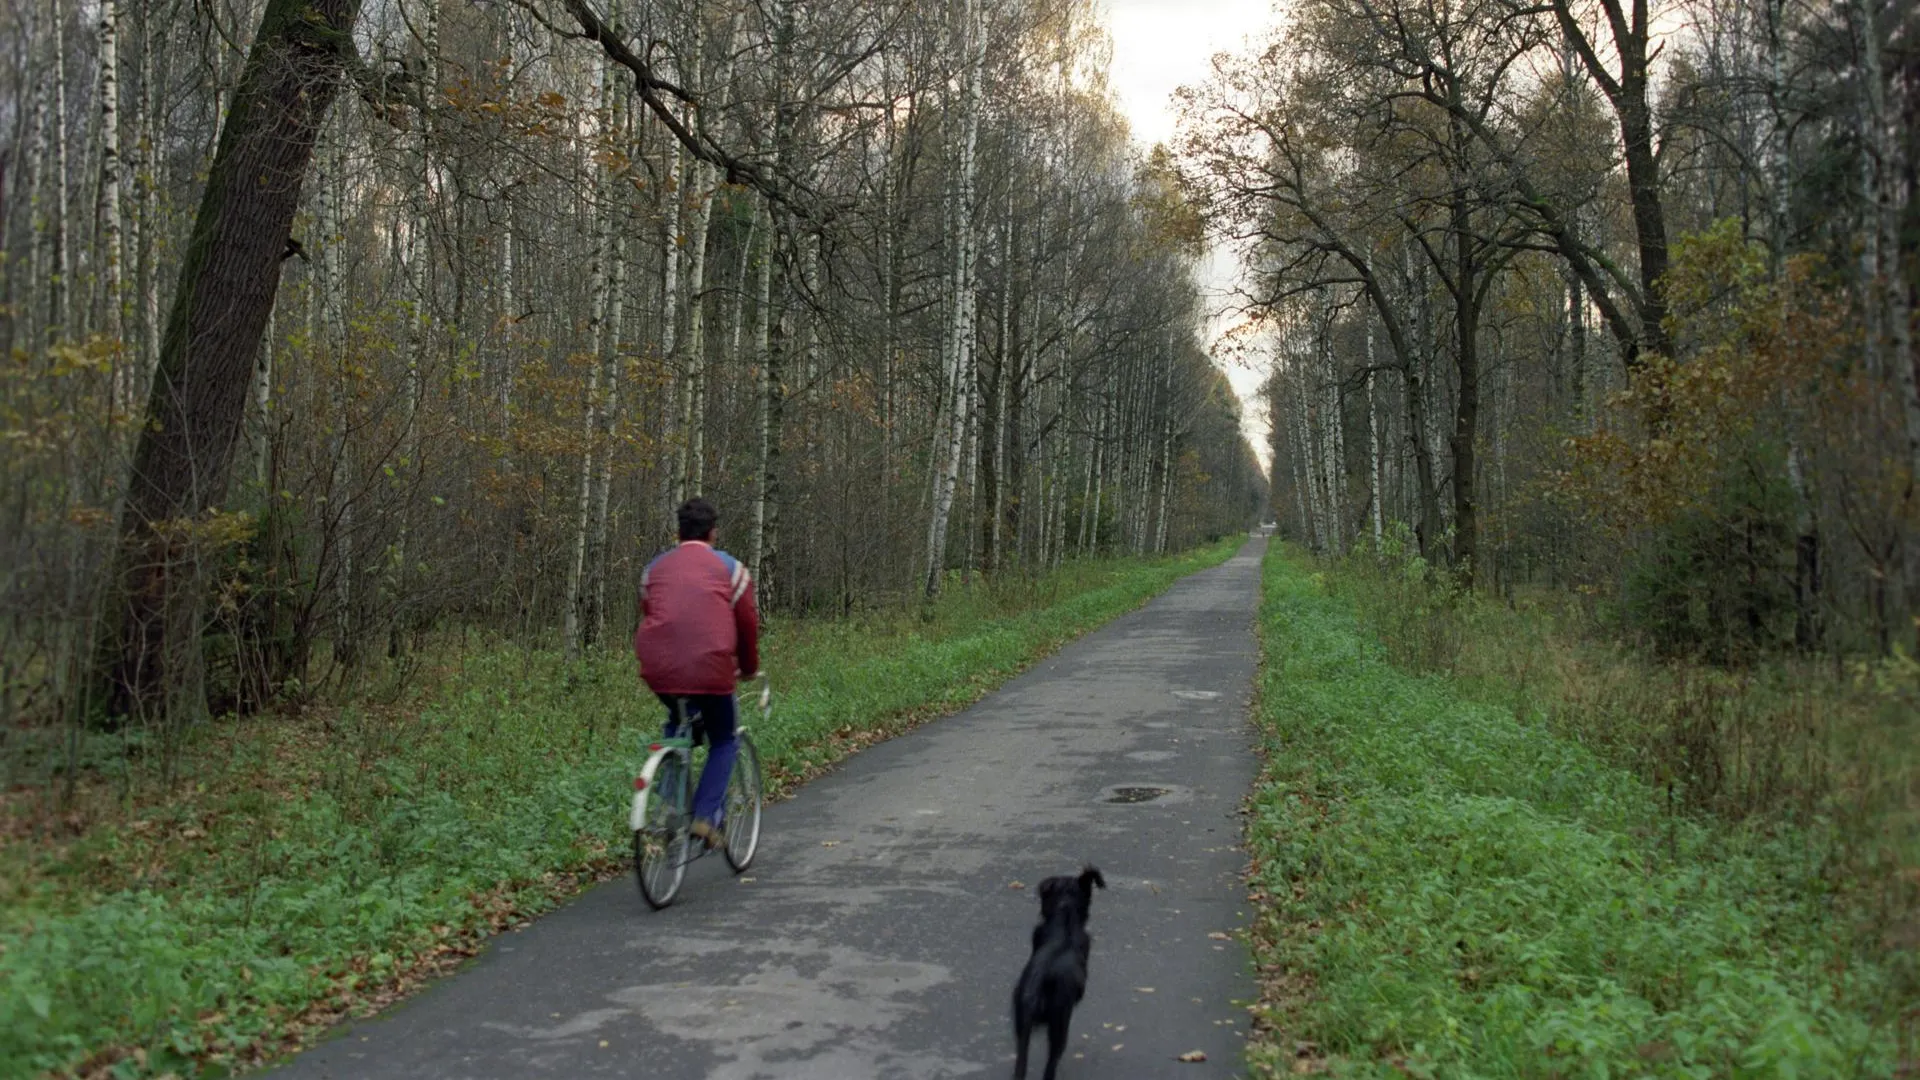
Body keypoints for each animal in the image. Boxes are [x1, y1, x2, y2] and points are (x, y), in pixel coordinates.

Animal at [1013, 864, 1105, 1076]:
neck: (1065, 915)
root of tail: (1043, 981)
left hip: (1023, 1026)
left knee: (1021, 1063)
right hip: (1060, 1026)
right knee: (1051, 1063)